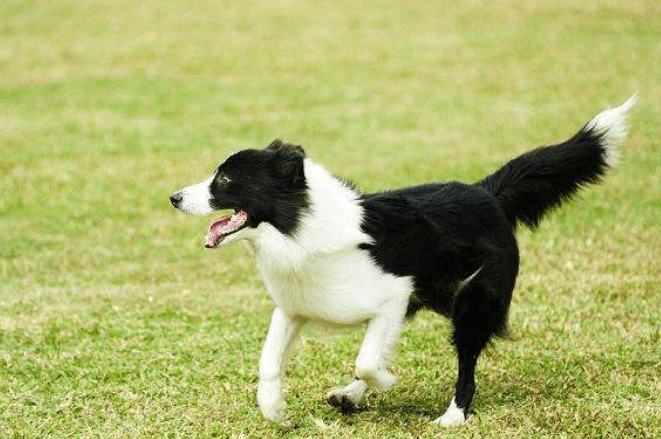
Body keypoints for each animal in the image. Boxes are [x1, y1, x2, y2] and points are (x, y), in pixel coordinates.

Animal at [170, 97, 636, 426]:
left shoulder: (394, 295)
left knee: (466, 362)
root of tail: (486, 192)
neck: (297, 228)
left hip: (472, 302)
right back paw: (349, 395)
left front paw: (387, 382)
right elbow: (269, 359)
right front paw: (273, 409)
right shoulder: (295, 306)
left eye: (225, 179)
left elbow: (368, 359)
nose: (174, 197)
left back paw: (453, 415)